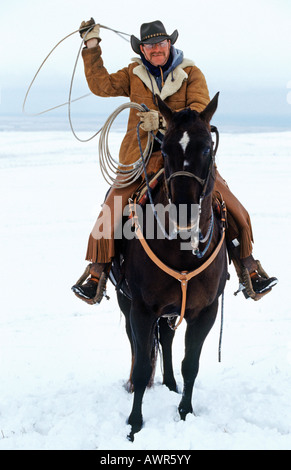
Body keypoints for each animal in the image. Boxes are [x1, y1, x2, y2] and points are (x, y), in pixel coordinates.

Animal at [112, 92, 228, 440]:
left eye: (206, 147)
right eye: (164, 150)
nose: (184, 210)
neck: (183, 250)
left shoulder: (205, 311)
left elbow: (191, 363)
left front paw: (185, 412)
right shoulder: (142, 308)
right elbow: (141, 366)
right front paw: (134, 424)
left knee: (165, 338)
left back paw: (171, 383)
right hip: (126, 301)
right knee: (138, 344)